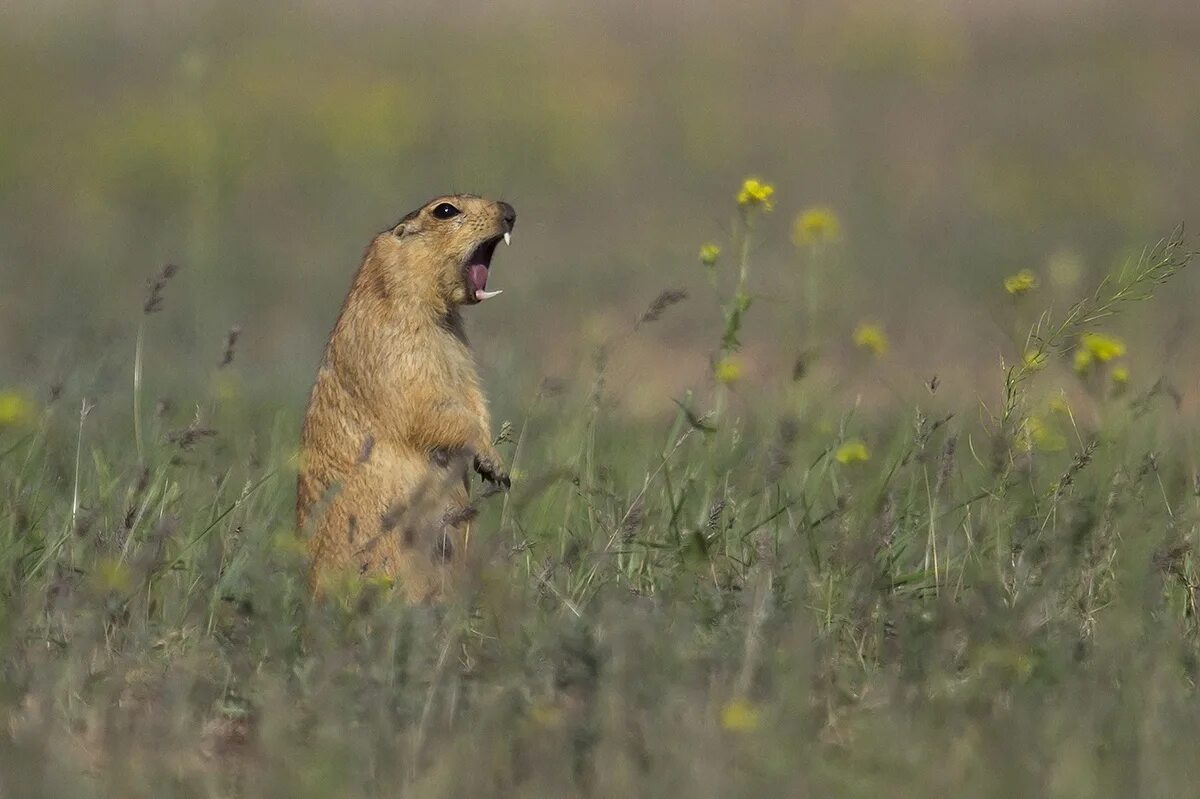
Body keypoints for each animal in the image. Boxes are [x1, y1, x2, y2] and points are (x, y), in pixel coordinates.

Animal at [297, 195, 513, 599]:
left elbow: (473, 396)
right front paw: (492, 461)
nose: (510, 210)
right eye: (445, 210)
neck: (437, 317)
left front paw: (492, 462)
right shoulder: (399, 349)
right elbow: (429, 407)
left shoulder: (459, 351)